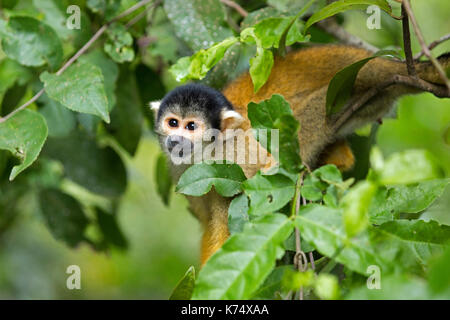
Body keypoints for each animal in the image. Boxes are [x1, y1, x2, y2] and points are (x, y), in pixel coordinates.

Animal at [153, 45, 450, 264]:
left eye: (191, 126)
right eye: (173, 123)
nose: (175, 140)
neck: (206, 152)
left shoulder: (234, 155)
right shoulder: (182, 173)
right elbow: (210, 220)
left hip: (357, 82)